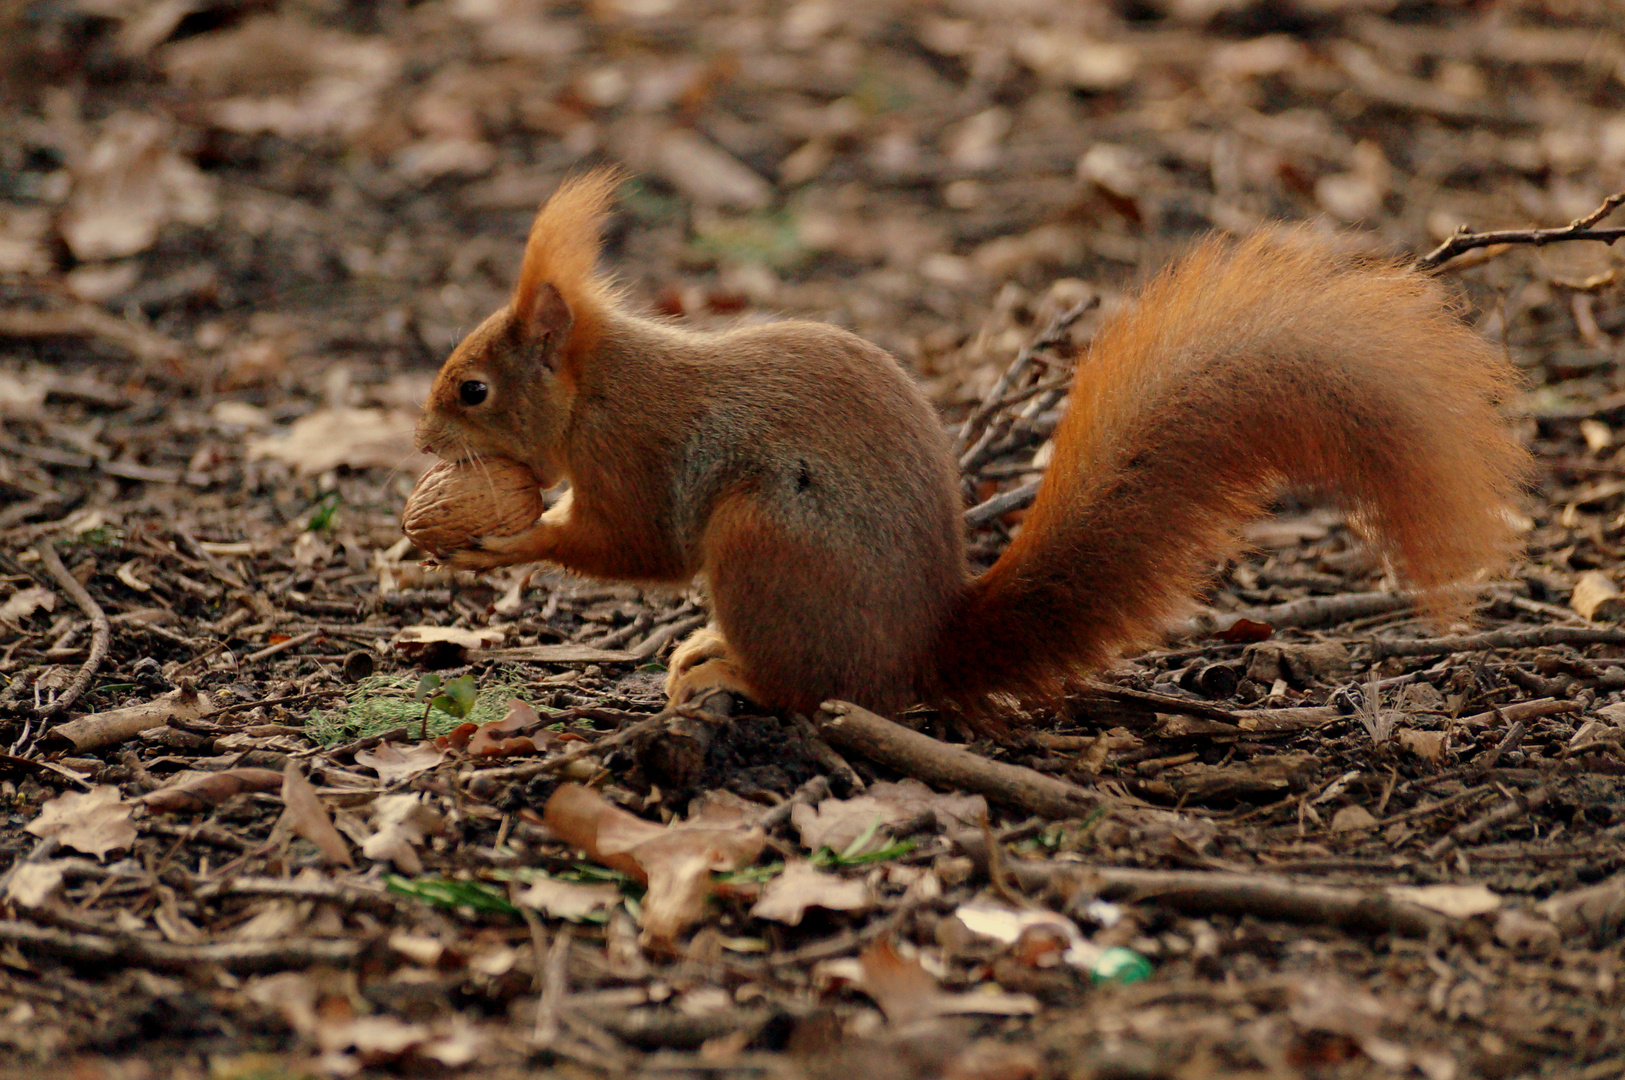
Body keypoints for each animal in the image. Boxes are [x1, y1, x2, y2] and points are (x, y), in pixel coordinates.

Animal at [412, 170, 1527, 714]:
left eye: (472, 388)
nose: (420, 431)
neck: (594, 386)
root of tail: (922, 648)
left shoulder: (636, 456)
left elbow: (630, 545)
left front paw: (498, 542)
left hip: (763, 542)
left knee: (813, 689)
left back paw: (730, 673)